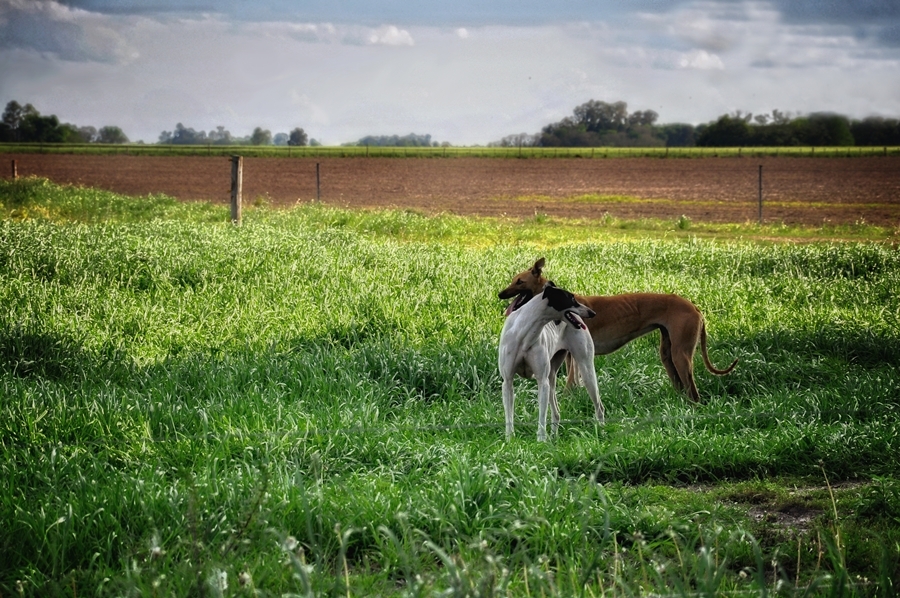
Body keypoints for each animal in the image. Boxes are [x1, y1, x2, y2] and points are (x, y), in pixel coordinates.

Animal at [500, 258, 740, 404]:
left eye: (519, 281)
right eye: (513, 280)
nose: (500, 294)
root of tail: (694, 306)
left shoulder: (574, 356)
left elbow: (570, 382)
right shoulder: (569, 355)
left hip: (681, 355)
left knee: (694, 393)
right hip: (668, 354)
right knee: (681, 387)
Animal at [500, 282, 604, 440]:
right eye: (571, 298)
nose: (592, 313)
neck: (523, 334)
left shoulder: (542, 381)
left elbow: (542, 416)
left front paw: (541, 440)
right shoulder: (507, 381)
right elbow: (509, 416)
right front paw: (509, 439)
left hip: (586, 371)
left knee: (599, 406)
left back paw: (602, 431)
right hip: (551, 377)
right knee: (556, 413)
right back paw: (554, 437)